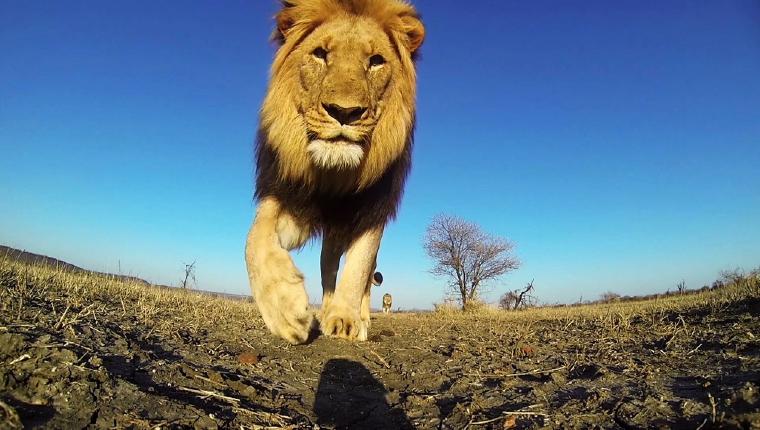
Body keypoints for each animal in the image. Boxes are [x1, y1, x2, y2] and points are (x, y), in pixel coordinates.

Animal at [243, 0, 422, 344]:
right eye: (320, 54)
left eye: (376, 61)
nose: (345, 112)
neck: (334, 175)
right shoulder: (287, 195)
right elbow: (255, 237)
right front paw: (286, 308)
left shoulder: (372, 210)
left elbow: (360, 265)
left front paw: (347, 319)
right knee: (328, 266)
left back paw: (357, 315)